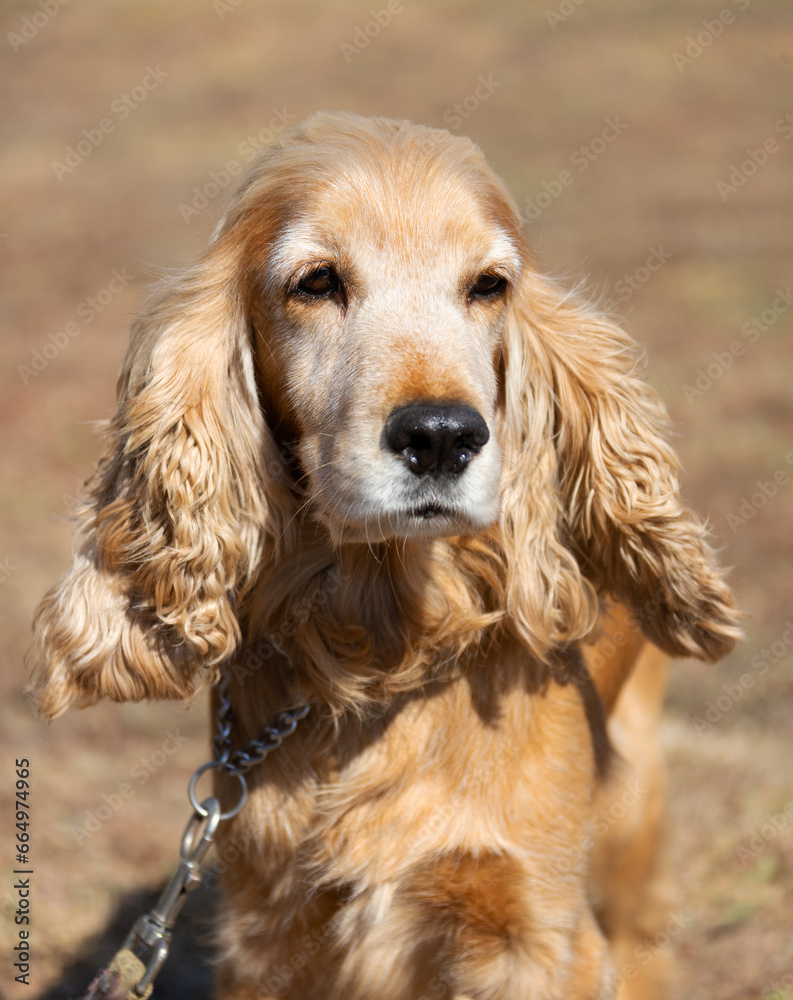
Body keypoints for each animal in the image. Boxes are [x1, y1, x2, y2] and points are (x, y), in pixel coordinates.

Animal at [29, 113, 736, 996]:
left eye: (488, 285)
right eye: (316, 282)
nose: (440, 435)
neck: (384, 649)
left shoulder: (534, 933)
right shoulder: (271, 934)